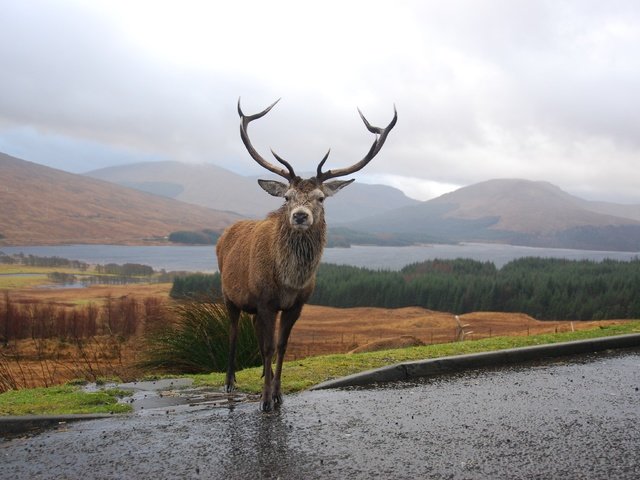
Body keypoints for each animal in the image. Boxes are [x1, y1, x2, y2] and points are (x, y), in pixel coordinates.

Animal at [216, 98, 396, 412]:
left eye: (320, 198)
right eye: (287, 197)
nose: (300, 215)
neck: (289, 281)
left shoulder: (296, 304)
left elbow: (282, 346)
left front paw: (277, 394)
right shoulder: (265, 300)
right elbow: (268, 346)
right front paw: (265, 401)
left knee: (255, 332)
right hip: (229, 294)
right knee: (234, 332)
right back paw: (229, 381)